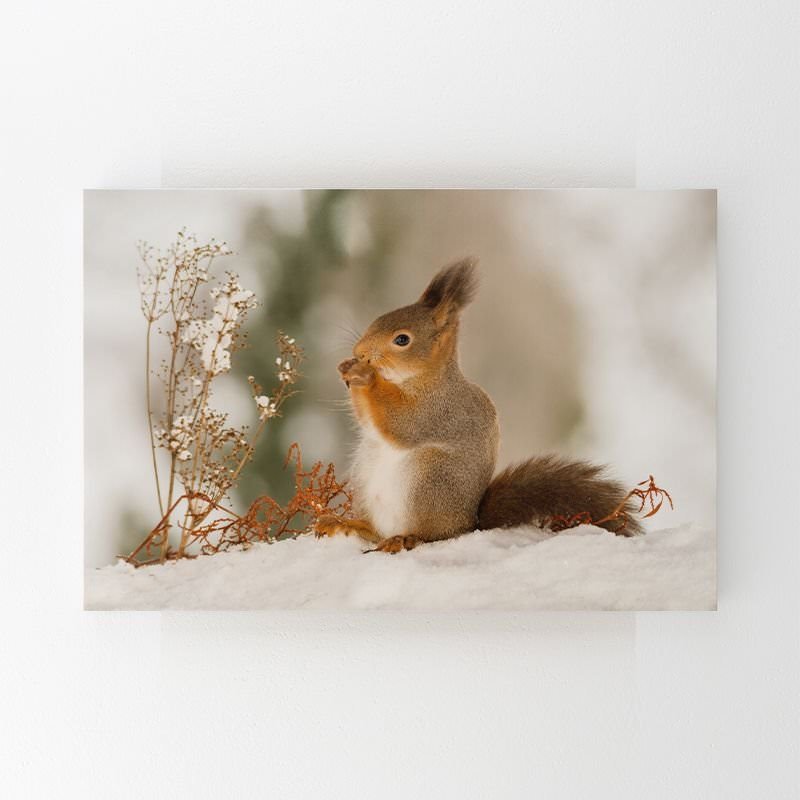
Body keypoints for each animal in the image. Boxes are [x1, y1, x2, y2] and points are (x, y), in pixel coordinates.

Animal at [314, 258, 642, 553]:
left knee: (430, 535)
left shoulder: (439, 409)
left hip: (429, 481)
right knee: (375, 530)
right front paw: (347, 369)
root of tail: (468, 523)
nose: (359, 352)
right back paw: (346, 523)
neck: (421, 379)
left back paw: (405, 539)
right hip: (365, 473)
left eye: (402, 340)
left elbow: (402, 422)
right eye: (378, 320)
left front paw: (366, 376)